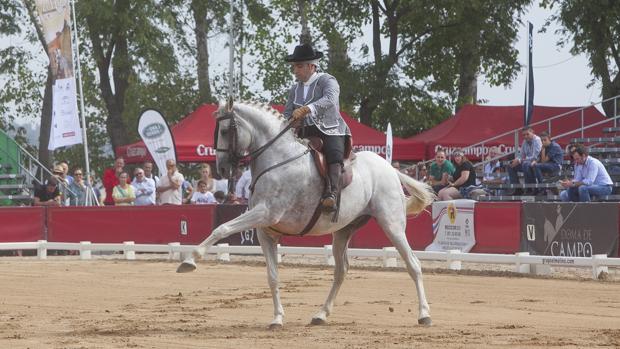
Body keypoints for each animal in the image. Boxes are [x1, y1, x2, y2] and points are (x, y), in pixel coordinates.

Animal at [177, 102, 434, 328]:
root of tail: (389, 168)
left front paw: (190, 260)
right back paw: (321, 314)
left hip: (392, 224)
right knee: (340, 272)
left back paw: (424, 315)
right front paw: (277, 318)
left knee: (413, 264)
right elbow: (272, 276)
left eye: (225, 130)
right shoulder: (265, 232)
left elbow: (221, 228)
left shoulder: (265, 214)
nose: (221, 169)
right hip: (343, 232)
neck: (278, 159)